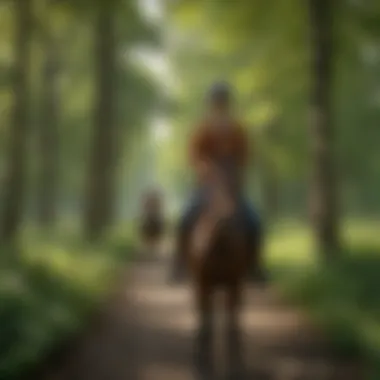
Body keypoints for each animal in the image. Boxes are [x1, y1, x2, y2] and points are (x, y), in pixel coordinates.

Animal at [184, 163, 255, 378]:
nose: (225, 221)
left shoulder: (234, 283)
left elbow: (232, 321)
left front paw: (236, 364)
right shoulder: (203, 283)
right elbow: (205, 319)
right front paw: (202, 362)